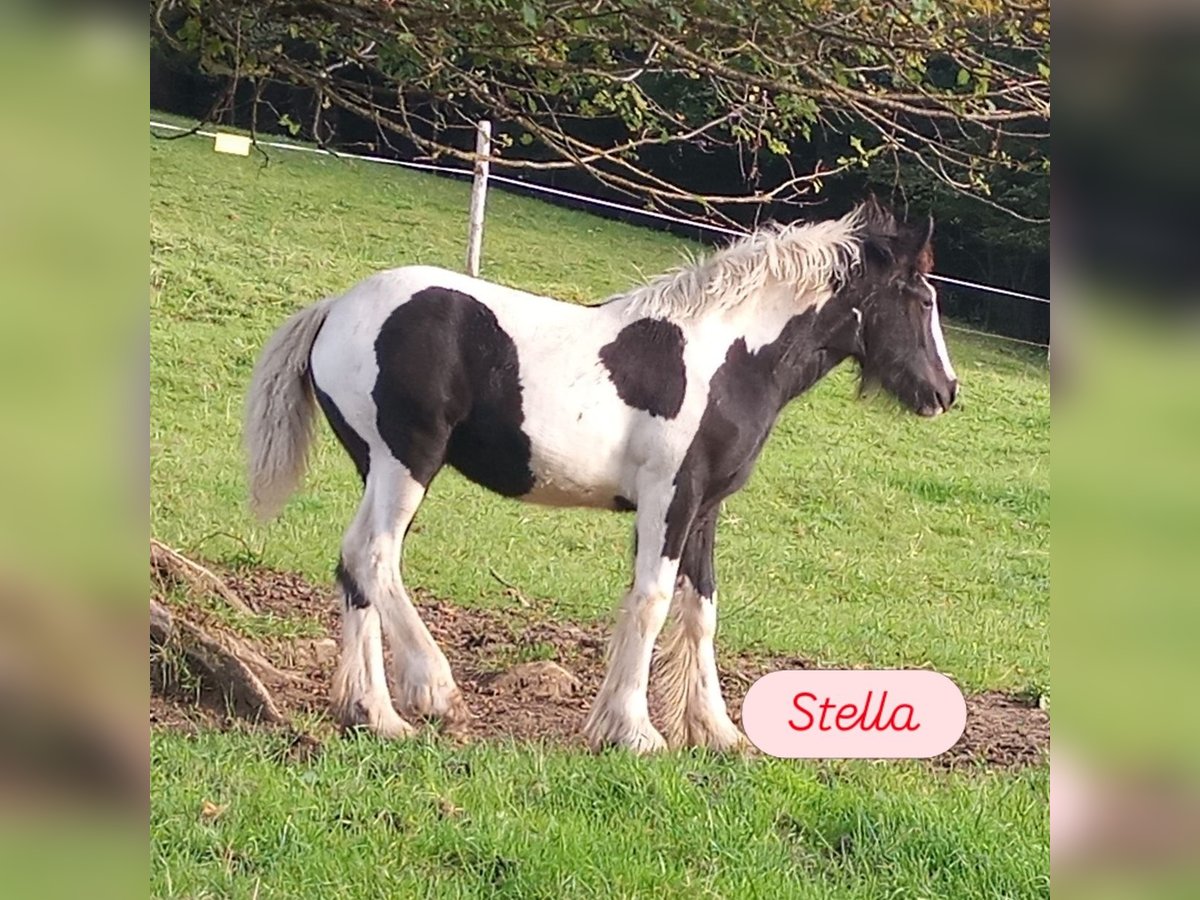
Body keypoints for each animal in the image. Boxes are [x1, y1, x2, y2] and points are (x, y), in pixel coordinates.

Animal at [243, 196, 955, 753]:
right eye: (920, 299)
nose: (945, 392)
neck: (731, 358)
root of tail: (335, 307)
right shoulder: (669, 497)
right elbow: (652, 602)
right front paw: (634, 731)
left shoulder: (705, 506)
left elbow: (701, 608)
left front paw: (716, 731)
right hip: (407, 460)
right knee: (375, 555)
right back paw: (434, 691)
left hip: (376, 464)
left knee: (354, 565)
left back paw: (375, 715)